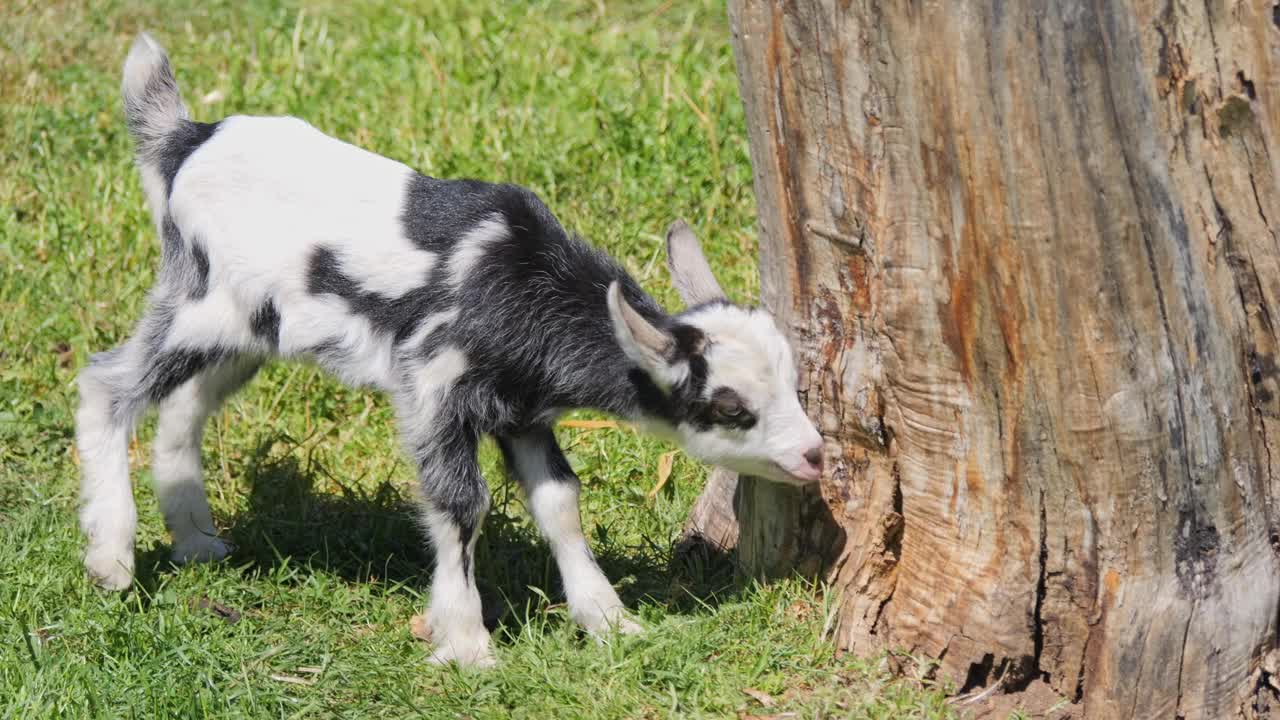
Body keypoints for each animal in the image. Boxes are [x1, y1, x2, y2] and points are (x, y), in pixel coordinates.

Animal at [77, 32, 819, 661]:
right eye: (730, 407)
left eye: (793, 383)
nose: (814, 456)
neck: (518, 280)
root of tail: (184, 139)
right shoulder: (432, 387)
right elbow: (461, 504)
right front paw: (465, 642)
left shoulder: (523, 410)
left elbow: (560, 501)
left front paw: (609, 621)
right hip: (200, 304)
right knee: (106, 386)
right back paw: (112, 557)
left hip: (250, 334)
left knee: (183, 405)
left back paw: (196, 540)